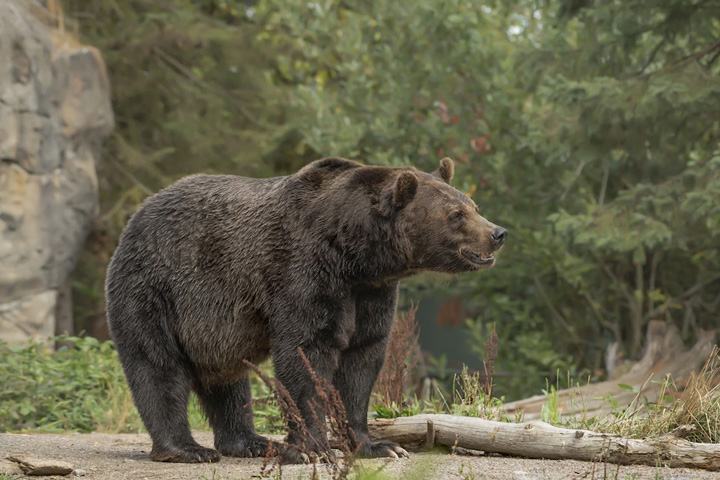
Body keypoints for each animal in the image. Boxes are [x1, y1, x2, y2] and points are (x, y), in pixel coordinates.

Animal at [105, 157, 506, 462]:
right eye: (456, 214)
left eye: (473, 206)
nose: (498, 232)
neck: (355, 254)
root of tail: (136, 216)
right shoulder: (304, 271)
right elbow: (306, 354)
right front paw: (313, 448)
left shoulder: (371, 293)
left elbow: (362, 360)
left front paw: (378, 445)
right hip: (156, 289)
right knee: (157, 365)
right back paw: (187, 449)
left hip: (213, 329)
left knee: (229, 381)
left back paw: (250, 441)